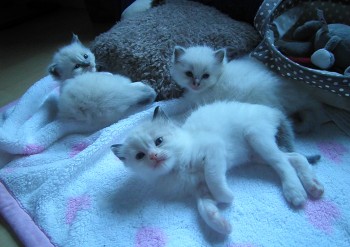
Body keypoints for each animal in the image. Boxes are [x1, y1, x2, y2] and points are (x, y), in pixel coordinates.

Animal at [110, 101, 324, 235]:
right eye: (140, 156)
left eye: (159, 141)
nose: (154, 156)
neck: (177, 168)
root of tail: (272, 110)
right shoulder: (198, 189)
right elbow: (204, 208)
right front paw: (221, 225)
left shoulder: (214, 151)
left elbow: (214, 180)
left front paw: (227, 197)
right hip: (255, 154)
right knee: (294, 158)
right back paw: (314, 186)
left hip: (256, 137)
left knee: (282, 163)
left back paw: (296, 192)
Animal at [171, 44, 324, 133]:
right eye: (189, 74)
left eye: (206, 76)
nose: (195, 84)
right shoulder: (189, 99)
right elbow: (177, 105)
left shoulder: (200, 103)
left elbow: (183, 112)